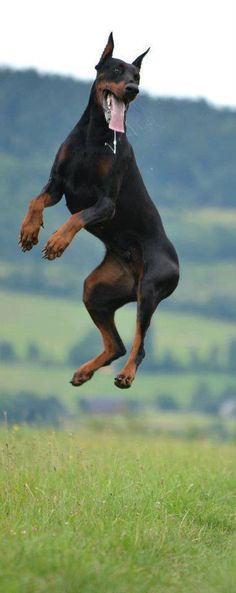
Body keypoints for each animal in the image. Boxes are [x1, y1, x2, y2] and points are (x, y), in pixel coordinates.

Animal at [19, 35, 179, 388]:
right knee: (116, 344)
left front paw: (57, 243)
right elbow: (36, 201)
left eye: (137, 75)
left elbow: (78, 217)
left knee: (138, 344)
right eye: (116, 69)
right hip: (96, 291)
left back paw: (126, 376)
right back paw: (83, 372)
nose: (132, 89)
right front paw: (29, 232)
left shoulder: (105, 203)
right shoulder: (59, 185)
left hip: (150, 290)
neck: (94, 138)